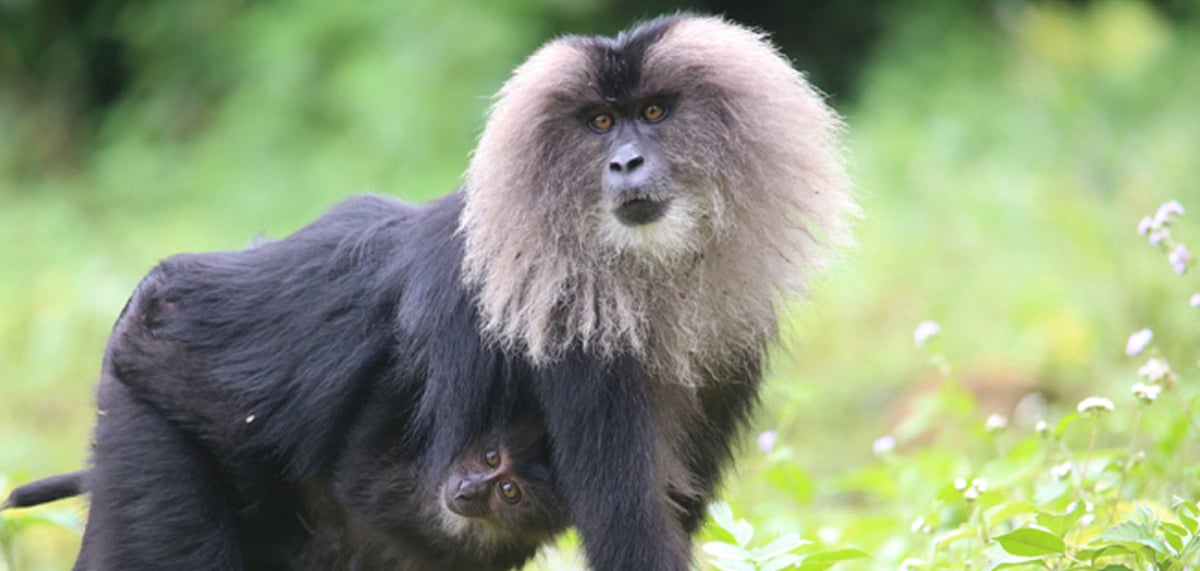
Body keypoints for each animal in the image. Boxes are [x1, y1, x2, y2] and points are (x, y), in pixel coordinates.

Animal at [69, 12, 856, 571]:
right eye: (601, 122)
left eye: (655, 113)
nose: (626, 162)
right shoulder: (575, 336)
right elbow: (627, 530)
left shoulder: (729, 345)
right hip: (144, 416)